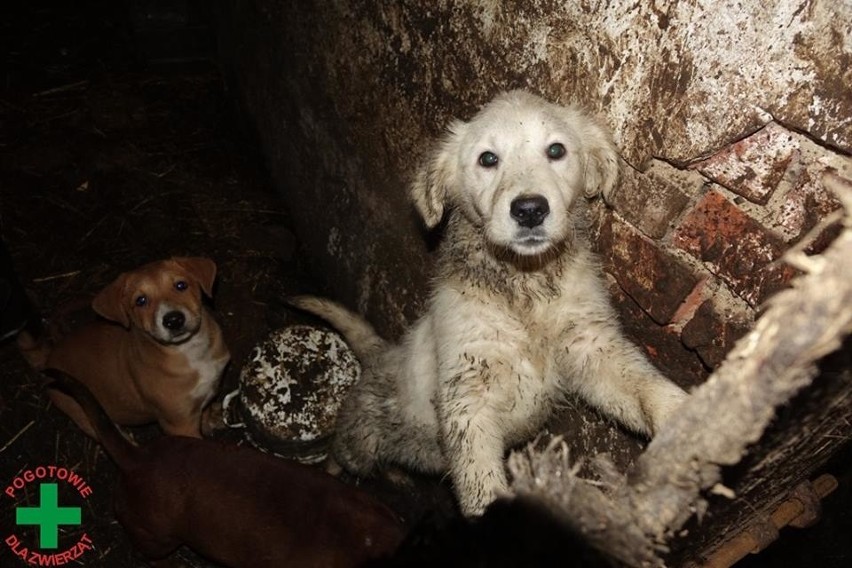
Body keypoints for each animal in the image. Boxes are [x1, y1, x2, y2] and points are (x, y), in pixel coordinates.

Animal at [292, 87, 684, 516]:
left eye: (557, 150)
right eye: (488, 159)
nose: (529, 210)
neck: (524, 287)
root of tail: (380, 354)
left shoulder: (590, 346)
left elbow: (641, 383)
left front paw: (685, 415)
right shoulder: (468, 392)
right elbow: (479, 482)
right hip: (360, 440)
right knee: (338, 456)